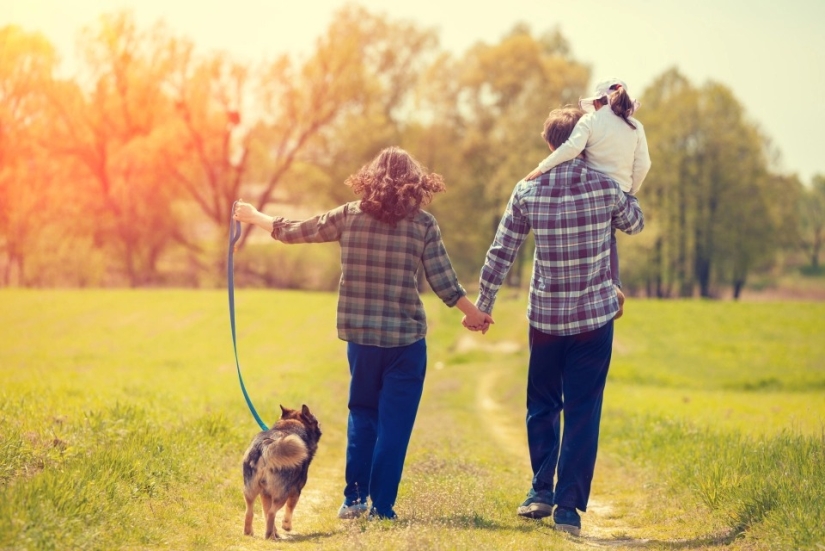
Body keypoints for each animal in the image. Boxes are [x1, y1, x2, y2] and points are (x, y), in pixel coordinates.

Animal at [241, 404, 322, 540]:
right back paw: (270, 536)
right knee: (272, 513)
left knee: (250, 512)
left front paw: (277, 531)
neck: (292, 422)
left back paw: (250, 532)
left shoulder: (265, 493)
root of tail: (266, 445)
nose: (320, 428)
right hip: (282, 493)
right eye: (316, 422)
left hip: (250, 490)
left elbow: (265, 511)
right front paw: (286, 526)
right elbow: (290, 508)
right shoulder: (295, 490)